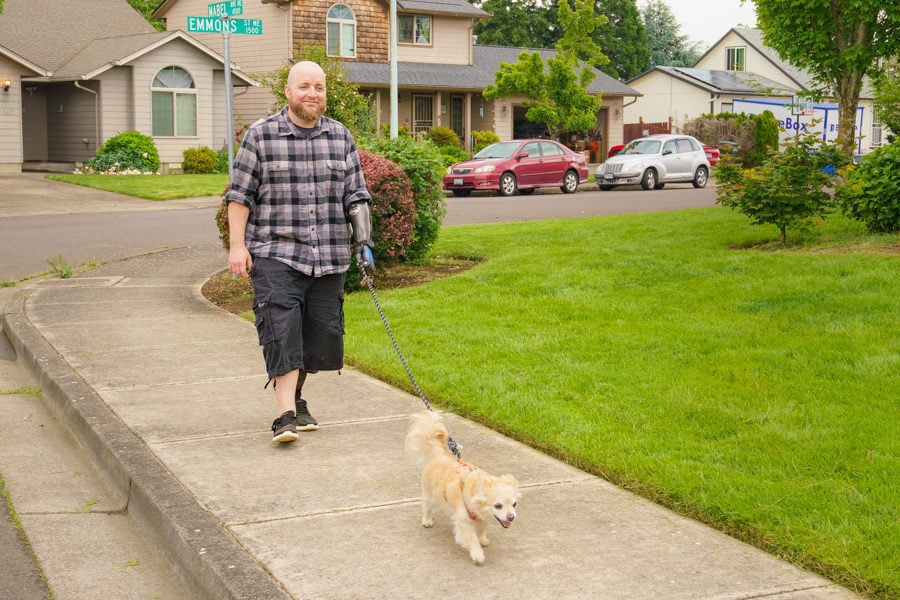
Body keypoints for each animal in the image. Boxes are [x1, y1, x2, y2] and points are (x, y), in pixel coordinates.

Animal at [402, 410, 516, 564]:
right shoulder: (464, 522)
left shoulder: (481, 520)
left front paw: (483, 539)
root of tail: (438, 456)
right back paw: (427, 521)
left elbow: (481, 530)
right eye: (498, 505)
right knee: (427, 508)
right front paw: (477, 554)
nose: (511, 517)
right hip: (428, 495)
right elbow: (472, 539)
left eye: (514, 504)